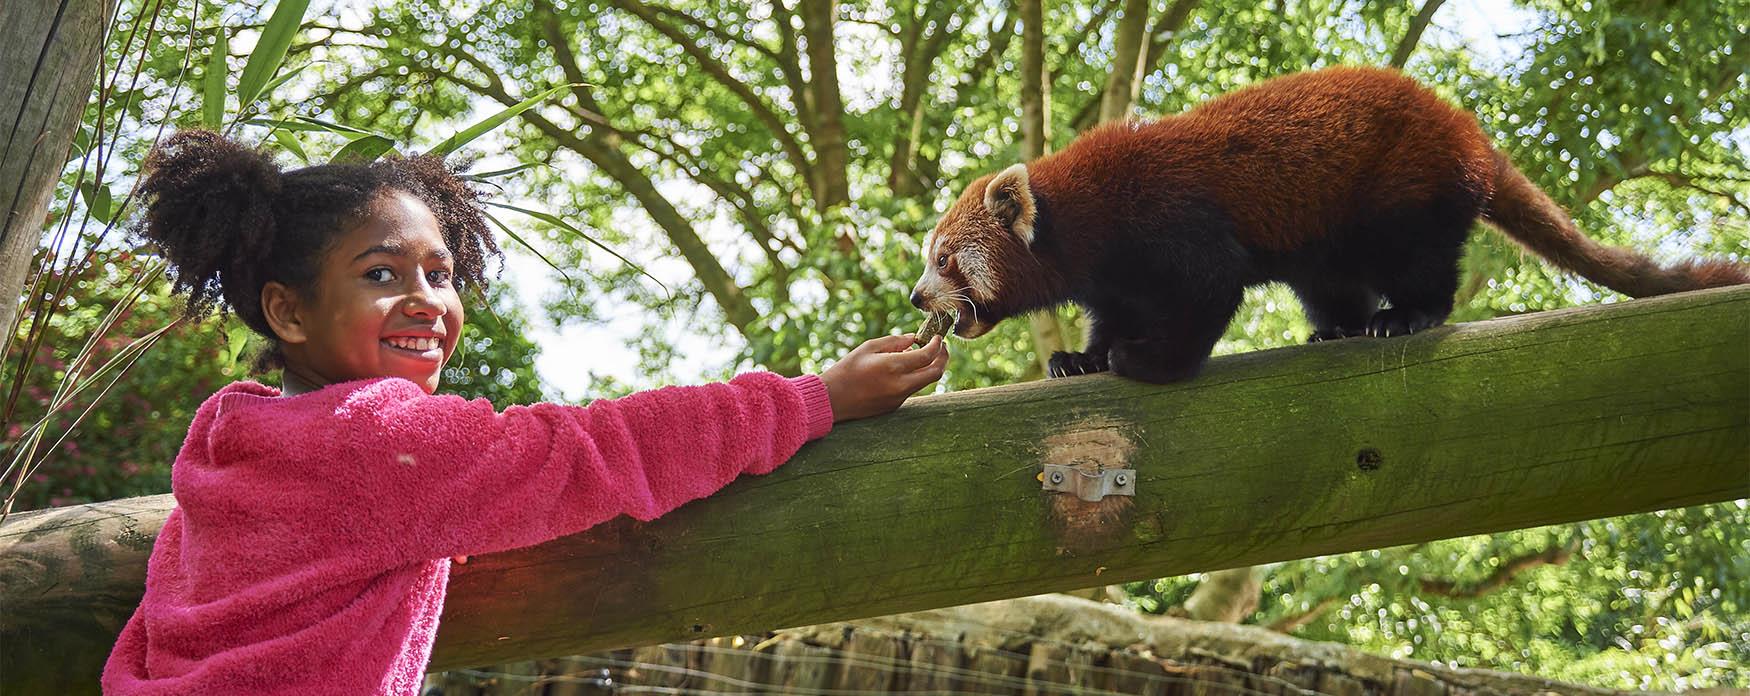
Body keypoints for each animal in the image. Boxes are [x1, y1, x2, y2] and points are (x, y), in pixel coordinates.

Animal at [910, 67, 1743, 382]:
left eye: (946, 260)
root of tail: (1466, 130)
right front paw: (1080, 359)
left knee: (1422, 265)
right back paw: (1338, 327)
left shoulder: (1169, 222)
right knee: (1329, 283)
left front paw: (1147, 361)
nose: (918, 298)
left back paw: (1402, 317)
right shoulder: (1114, 275)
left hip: (1403, 189)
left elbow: (1208, 292)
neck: (1086, 213)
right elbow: (1111, 313)